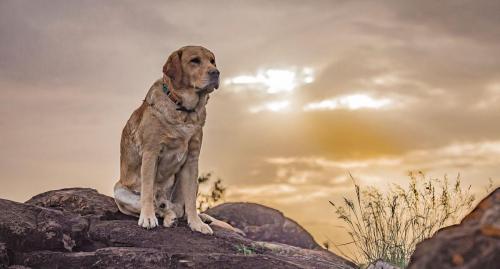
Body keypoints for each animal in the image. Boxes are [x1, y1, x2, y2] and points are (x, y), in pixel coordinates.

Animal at [113, 45, 236, 233]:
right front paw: (147, 218)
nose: (216, 72)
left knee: (178, 208)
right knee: (159, 206)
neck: (183, 110)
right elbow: (147, 192)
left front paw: (196, 223)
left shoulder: (192, 159)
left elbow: (191, 200)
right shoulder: (150, 153)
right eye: (195, 60)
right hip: (120, 192)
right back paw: (166, 215)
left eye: (212, 61)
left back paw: (193, 217)